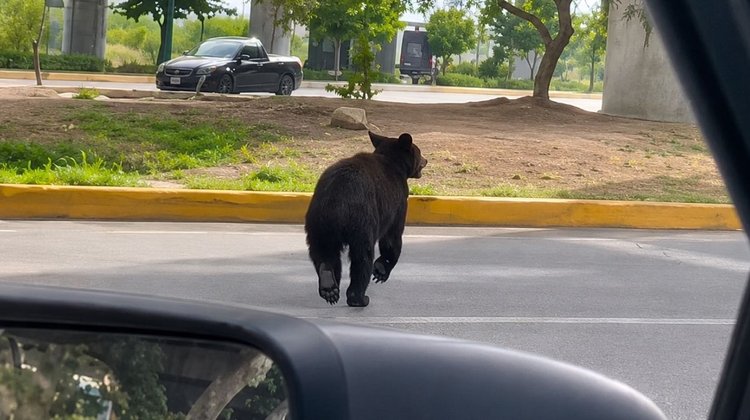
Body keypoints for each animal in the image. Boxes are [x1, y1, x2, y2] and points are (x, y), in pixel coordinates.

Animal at [305, 131, 428, 307]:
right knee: (362, 257)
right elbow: (392, 236)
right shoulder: (399, 200)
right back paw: (359, 298)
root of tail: (336, 200)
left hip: (318, 222)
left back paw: (329, 286)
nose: (426, 160)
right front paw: (381, 270)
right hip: (362, 220)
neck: (393, 163)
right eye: (419, 151)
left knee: (324, 252)